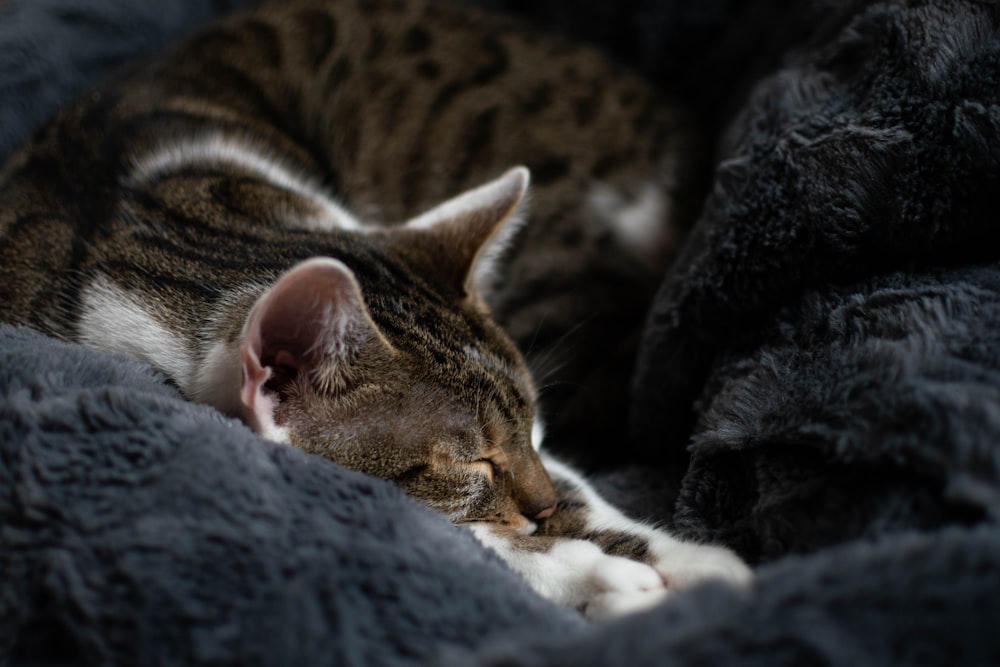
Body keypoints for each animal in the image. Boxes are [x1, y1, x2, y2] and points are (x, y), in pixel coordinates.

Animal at [0, 0, 752, 620]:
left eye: (535, 431)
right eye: (474, 464)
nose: (539, 511)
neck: (145, 223)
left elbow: (576, 489)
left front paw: (701, 566)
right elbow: (459, 533)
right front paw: (596, 575)